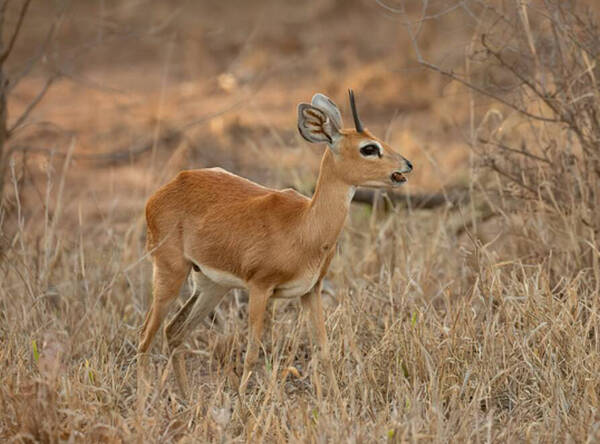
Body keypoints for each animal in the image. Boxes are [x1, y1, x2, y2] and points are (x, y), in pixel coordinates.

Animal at [137, 89, 412, 396]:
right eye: (369, 148)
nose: (406, 166)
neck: (304, 226)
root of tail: (166, 188)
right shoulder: (260, 288)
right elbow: (252, 354)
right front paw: (242, 403)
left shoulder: (311, 291)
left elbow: (325, 351)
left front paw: (339, 401)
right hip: (170, 274)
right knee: (145, 337)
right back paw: (143, 403)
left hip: (211, 285)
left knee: (174, 331)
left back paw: (187, 399)